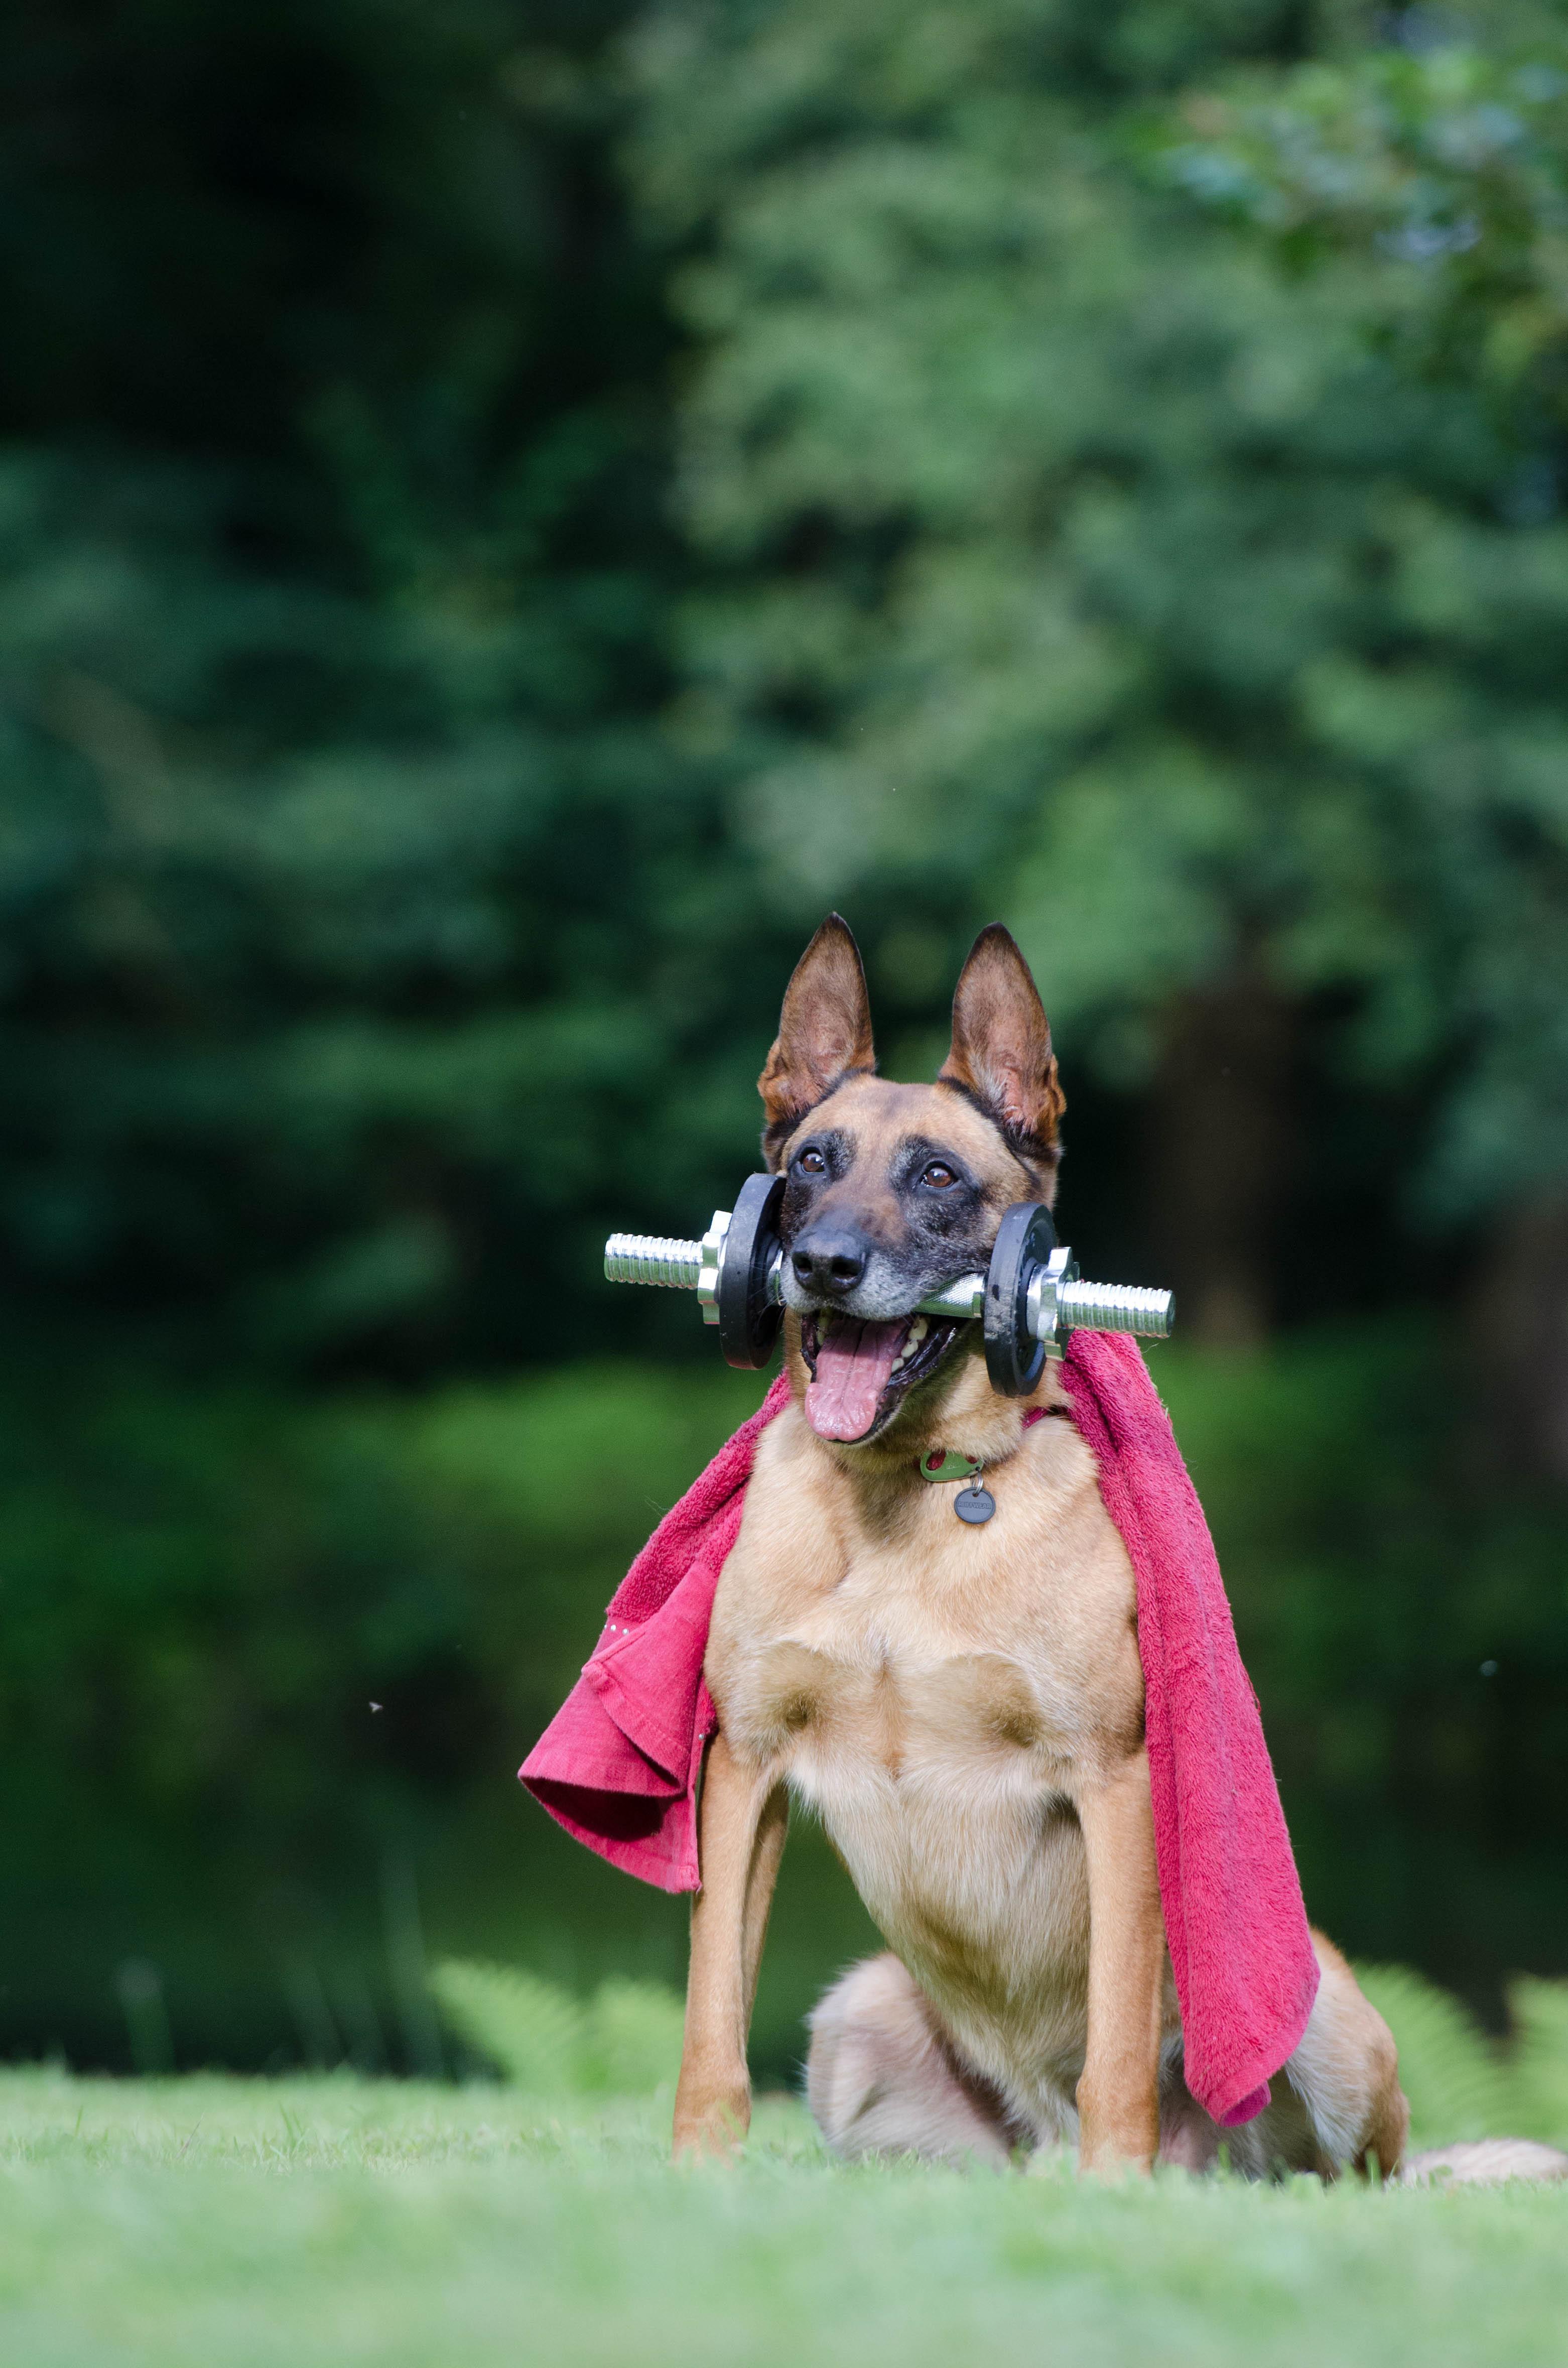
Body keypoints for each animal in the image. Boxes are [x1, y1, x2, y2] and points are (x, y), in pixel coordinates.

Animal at [673, 914, 1411, 2169]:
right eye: (812, 1162)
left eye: (936, 1175)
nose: (820, 1263)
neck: (908, 1506)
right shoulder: (744, 1770)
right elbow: (710, 2022)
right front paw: (693, 2173)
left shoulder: (1111, 1782)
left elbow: (1116, 2036)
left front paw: (1118, 2190)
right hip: (854, 2019)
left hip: (1319, 2019)